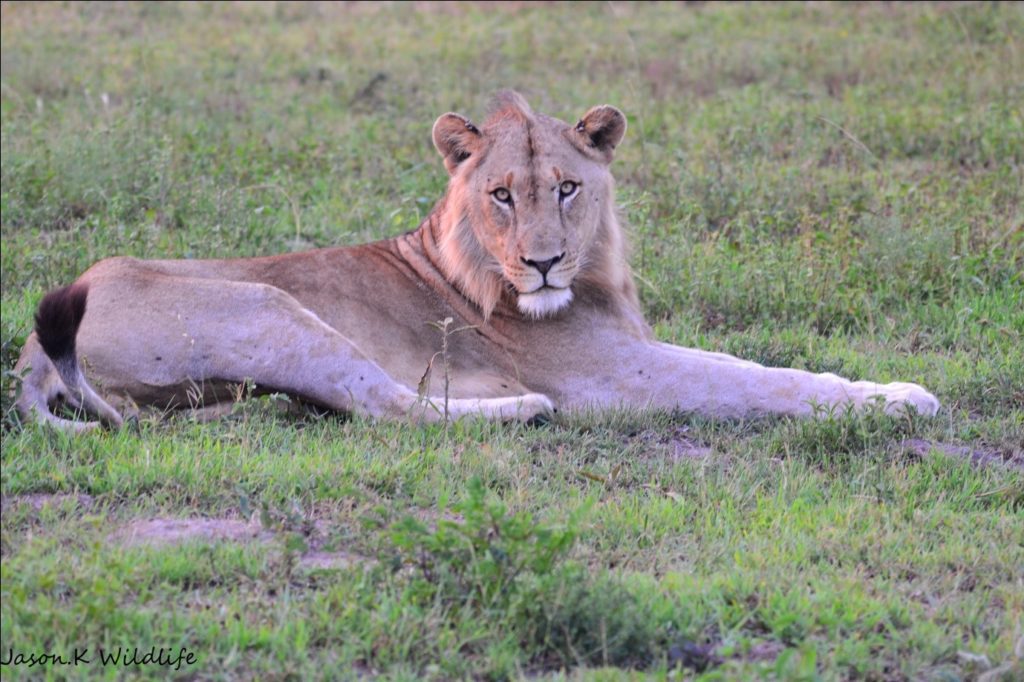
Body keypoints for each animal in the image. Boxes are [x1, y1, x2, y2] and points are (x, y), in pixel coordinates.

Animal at [14, 90, 937, 430]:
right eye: (500, 195)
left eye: (566, 187)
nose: (543, 264)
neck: (596, 281)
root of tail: (28, 356)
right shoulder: (614, 376)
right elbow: (761, 382)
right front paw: (901, 398)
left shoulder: (633, 346)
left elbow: (754, 362)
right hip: (271, 309)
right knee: (389, 407)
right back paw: (520, 408)